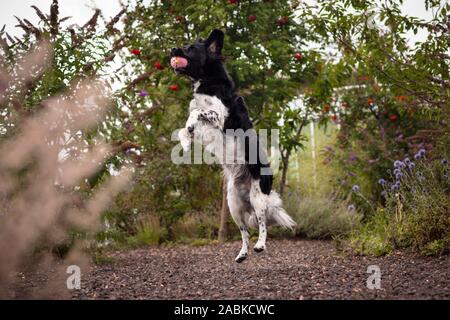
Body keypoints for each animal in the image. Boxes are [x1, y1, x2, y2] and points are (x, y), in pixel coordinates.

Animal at [169, 29, 296, 262]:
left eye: (191, 48)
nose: (172, 50)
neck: (210, 80)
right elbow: (185, 126)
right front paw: (185, 142)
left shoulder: (218, 115)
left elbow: (195, 113)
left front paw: (188, 130)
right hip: (233, 205)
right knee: (244, 232)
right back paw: (243, 254)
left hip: (258, 198)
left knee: (263, 225)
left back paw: (260, 245)